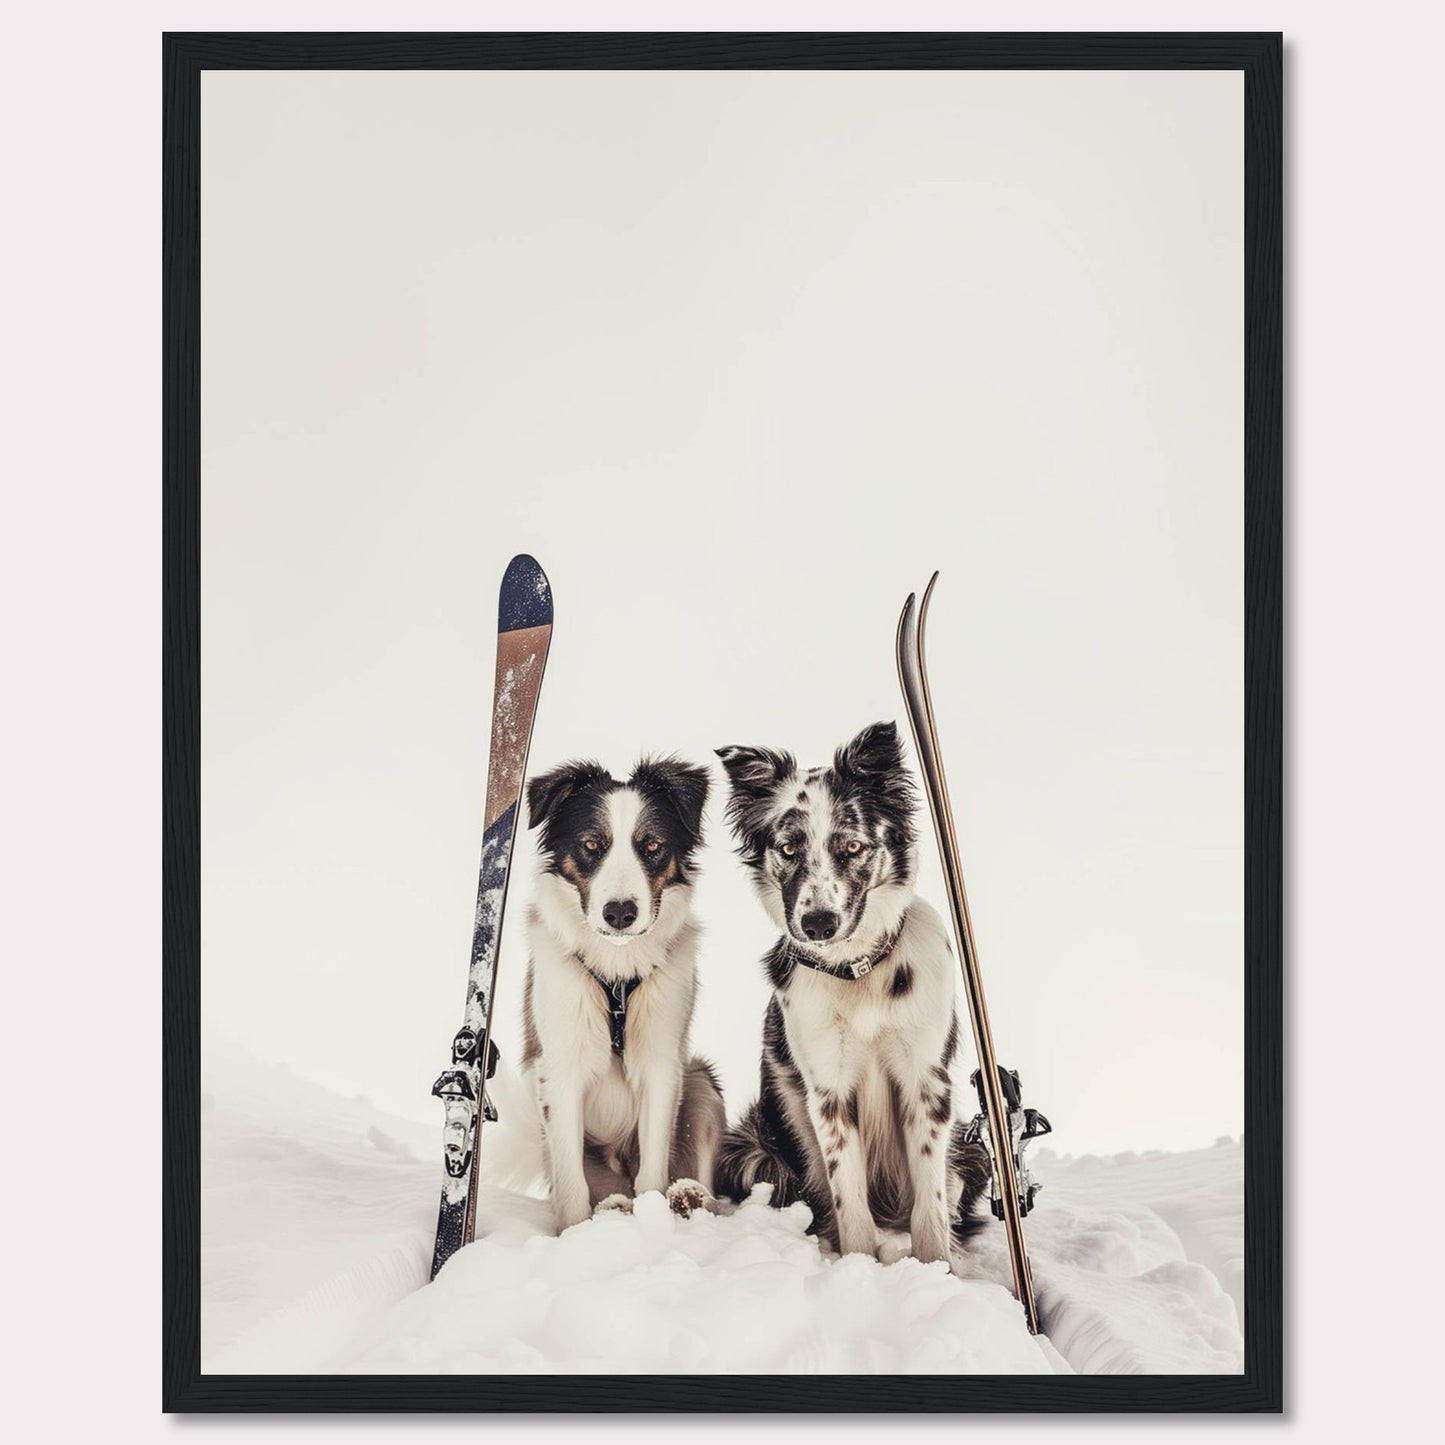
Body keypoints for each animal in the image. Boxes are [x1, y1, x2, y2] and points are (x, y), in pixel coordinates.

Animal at [520, 757, 728, 1231]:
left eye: (651, 846)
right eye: (591, 845)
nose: (619, 913)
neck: (616, 969)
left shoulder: (663, 1063)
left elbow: (653, 1167)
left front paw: (652, 1221)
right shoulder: (559, 1070)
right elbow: (571, 1183)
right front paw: (575, 1234)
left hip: (701, 1084)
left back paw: (687, 1198)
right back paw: (613, 1209)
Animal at [713, 722, 988, 1265]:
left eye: (854, 847)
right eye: (789, 849)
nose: (818, 923)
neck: (858, 973)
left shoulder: (926, 1081)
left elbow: (930, 1199)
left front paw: (936, 1270)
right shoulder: (829, 1090)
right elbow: (849, 1196)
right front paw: (858, 1265)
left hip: (974, 1149)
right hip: (755, 1147)